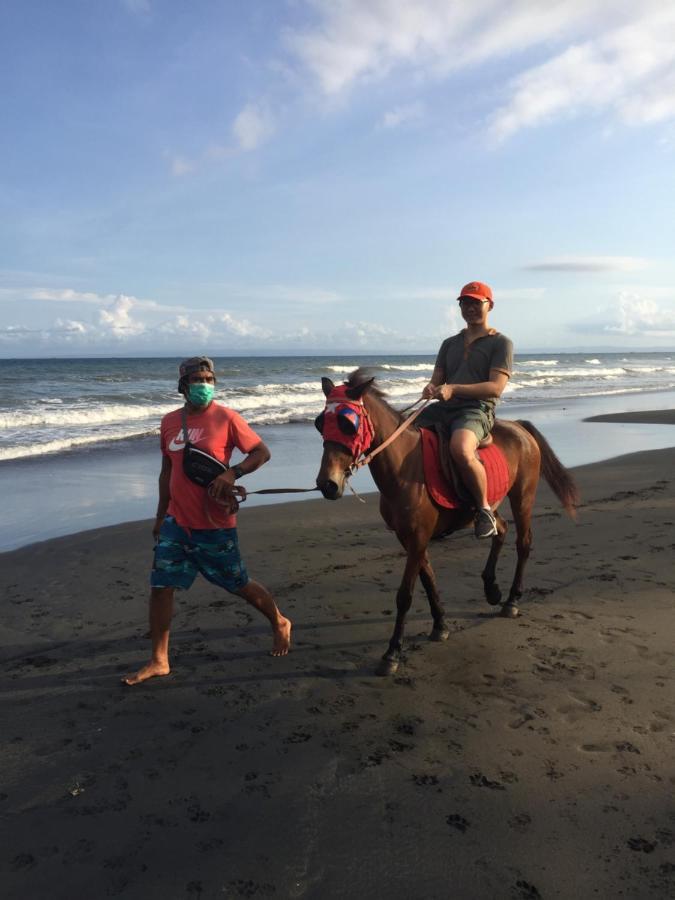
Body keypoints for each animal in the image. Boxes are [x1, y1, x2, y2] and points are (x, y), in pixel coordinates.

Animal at [314, 368, 580, 676]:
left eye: (347, 424)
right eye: (321, 424)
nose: (327, 484)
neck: (404, 466)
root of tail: (519, 427)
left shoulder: (417, 538)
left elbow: (405, 595)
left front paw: (392, 652)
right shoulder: (409, 538)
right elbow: (428, 579)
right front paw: (440, 625)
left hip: (522, 496)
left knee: (523, 543)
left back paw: (512, 599)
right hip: (489, 504)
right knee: (499, 529)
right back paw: (491, 587)